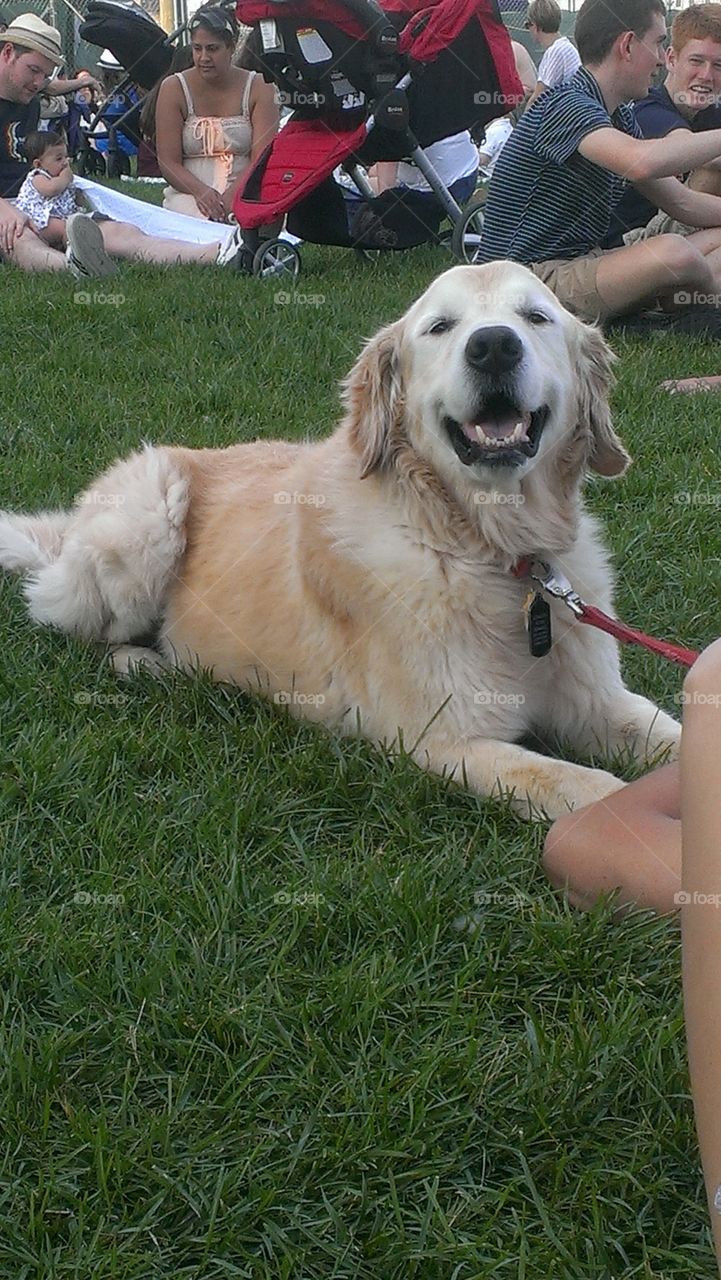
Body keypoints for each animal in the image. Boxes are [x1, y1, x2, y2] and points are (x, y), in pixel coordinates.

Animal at [0, 263, 681, 814]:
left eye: (536, 316)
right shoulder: (439, 736)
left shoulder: (599, 701)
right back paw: (144, 663)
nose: (492, 347)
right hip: (148, 510)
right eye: (440, 327)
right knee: (72, 622)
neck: (491, 553)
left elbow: (674, 737)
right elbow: (584, 788)